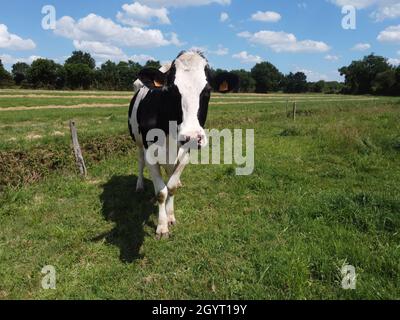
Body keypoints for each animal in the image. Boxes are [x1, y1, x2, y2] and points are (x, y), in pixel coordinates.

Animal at [128, 50, 238, 240]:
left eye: (208, 91)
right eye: (171, 90)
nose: (192, 137)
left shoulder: (185, 153)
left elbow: (171, 187)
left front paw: (170, 216)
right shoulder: (150, 153)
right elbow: (161, 192)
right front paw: (162, 227)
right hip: (139, 143)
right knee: (140, 162)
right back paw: (140, 185)